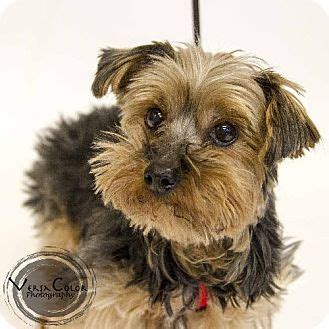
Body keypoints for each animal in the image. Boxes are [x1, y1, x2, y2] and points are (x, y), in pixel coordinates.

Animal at [26, 42, 320, 326]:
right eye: (154, 116)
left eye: (225, 132)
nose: (160, 174)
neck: (190, 249)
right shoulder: (110, 303)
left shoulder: (238, 313)